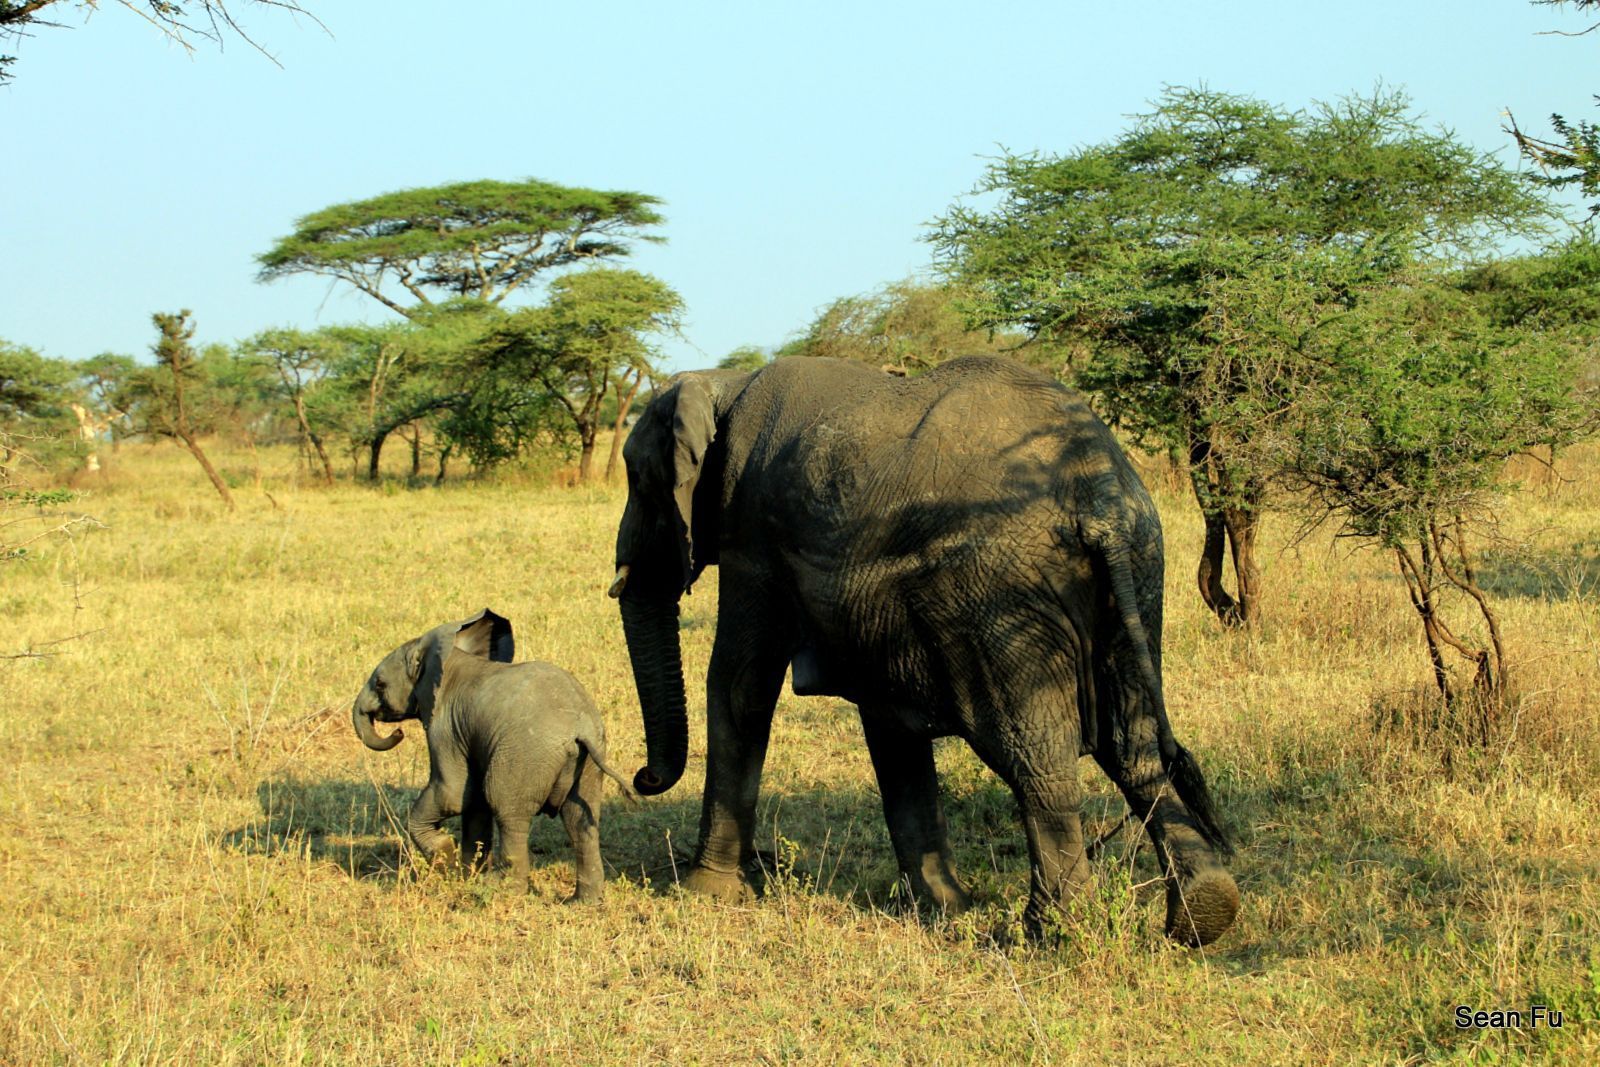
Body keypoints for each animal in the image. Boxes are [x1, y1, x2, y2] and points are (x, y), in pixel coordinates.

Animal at [353, 607, 633, 902]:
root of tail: (579, 728)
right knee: (580, 822)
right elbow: (473, 801)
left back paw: (505, 890)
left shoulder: (444, 728)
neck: (448, 655)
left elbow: (453, 795)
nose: (398, 733)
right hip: (588, 761)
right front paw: (466, 875)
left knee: (507, 810)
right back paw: (581, 902)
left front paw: (447, 860)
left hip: (526, 756)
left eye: (380, 684)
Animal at [608, 355, 1235, 947]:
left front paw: (704, 893)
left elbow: (740, 686)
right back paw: (1204, 911)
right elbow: (888, 726)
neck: (724, 382)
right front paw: (945, 908)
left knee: (1039, 759)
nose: (642, 777)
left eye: (639, 480)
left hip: (1000, 593)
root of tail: (1099, 492)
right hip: (1139, 568)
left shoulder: (750, 530)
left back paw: (1049, 933)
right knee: (1133, 746)